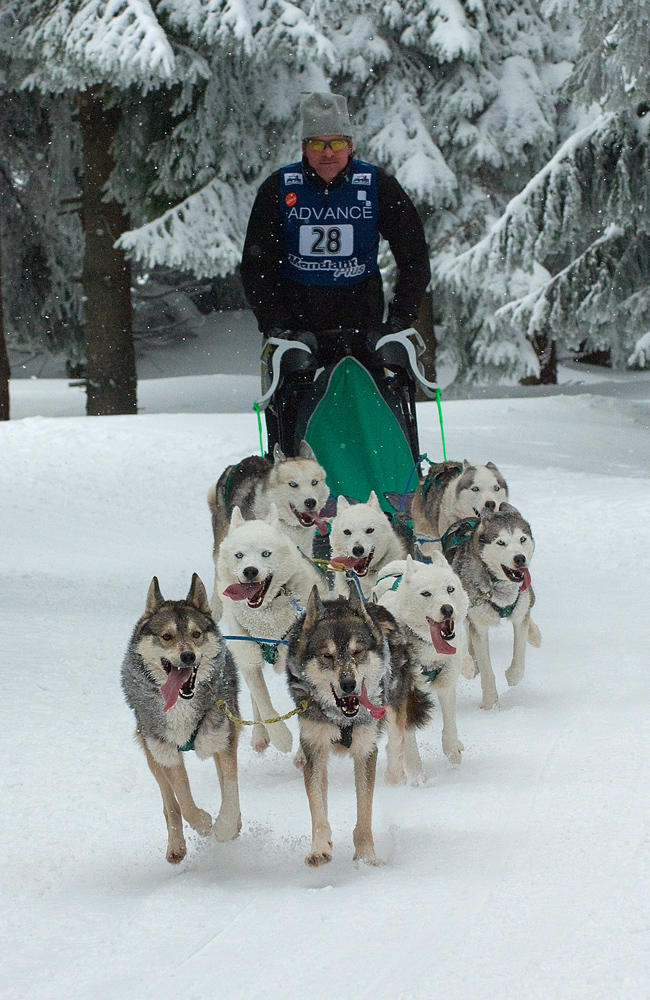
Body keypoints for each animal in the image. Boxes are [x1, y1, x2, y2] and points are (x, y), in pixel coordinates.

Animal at [121, 576, 240, 864]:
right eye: (167, 636)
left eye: (196, 634)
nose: (188, 656)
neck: (182, 706)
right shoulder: (168, 754)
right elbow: (185, 804)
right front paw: (205, 822)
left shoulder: (223, 740)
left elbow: (230, 789)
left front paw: (226, 827)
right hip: (152, 755)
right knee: (170, 805)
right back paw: (176, 846)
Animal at [284, 584, 426, 868]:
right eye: (327, 656)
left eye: (357, 652)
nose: (348, 684)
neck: (343, 720)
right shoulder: (315, 748)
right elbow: (317, 804)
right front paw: (319, 848)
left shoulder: (365, 750)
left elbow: (364, 811)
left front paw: (366, 857)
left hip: (394, 707)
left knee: (397, 743)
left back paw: (397, 775)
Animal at [446, 500, 540, 712]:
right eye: (501, 542)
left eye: (522, 539)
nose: (520, 558)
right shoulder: (478, 626)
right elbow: (487, 669)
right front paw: (490, 703)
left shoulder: (520, 614)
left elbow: (519, 653)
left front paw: (513, 676)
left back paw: (535, 635)